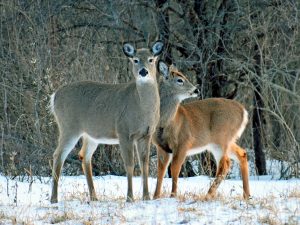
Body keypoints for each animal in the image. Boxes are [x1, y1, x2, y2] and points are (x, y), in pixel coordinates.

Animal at [49, 40, 164, 204]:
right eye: (135, 60)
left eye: (151, 59)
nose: (143, 72)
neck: (141, 108)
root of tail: (55, 96)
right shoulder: (124, 132)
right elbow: (129, 165)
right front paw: (130, 197)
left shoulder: (146, 134)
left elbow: (145, 165)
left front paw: (146, 197)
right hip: (68, 127)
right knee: (58, 155)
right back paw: (54, 198)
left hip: (90, 135)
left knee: (84, 155)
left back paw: (94, 197)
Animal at [154, 60, 250, 200]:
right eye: (179, 80)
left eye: (185, 76)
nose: (196, 89)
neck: (167, 123)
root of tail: (244, 111)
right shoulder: (161, 147)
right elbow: (161, 171)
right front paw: (154, 196)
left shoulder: (184, 143)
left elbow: (175, 169)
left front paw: (173, 195)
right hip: (226, 140)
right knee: (242, 154)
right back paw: (247, 195)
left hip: (221, 138)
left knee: (225, 164)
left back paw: (208, 195)